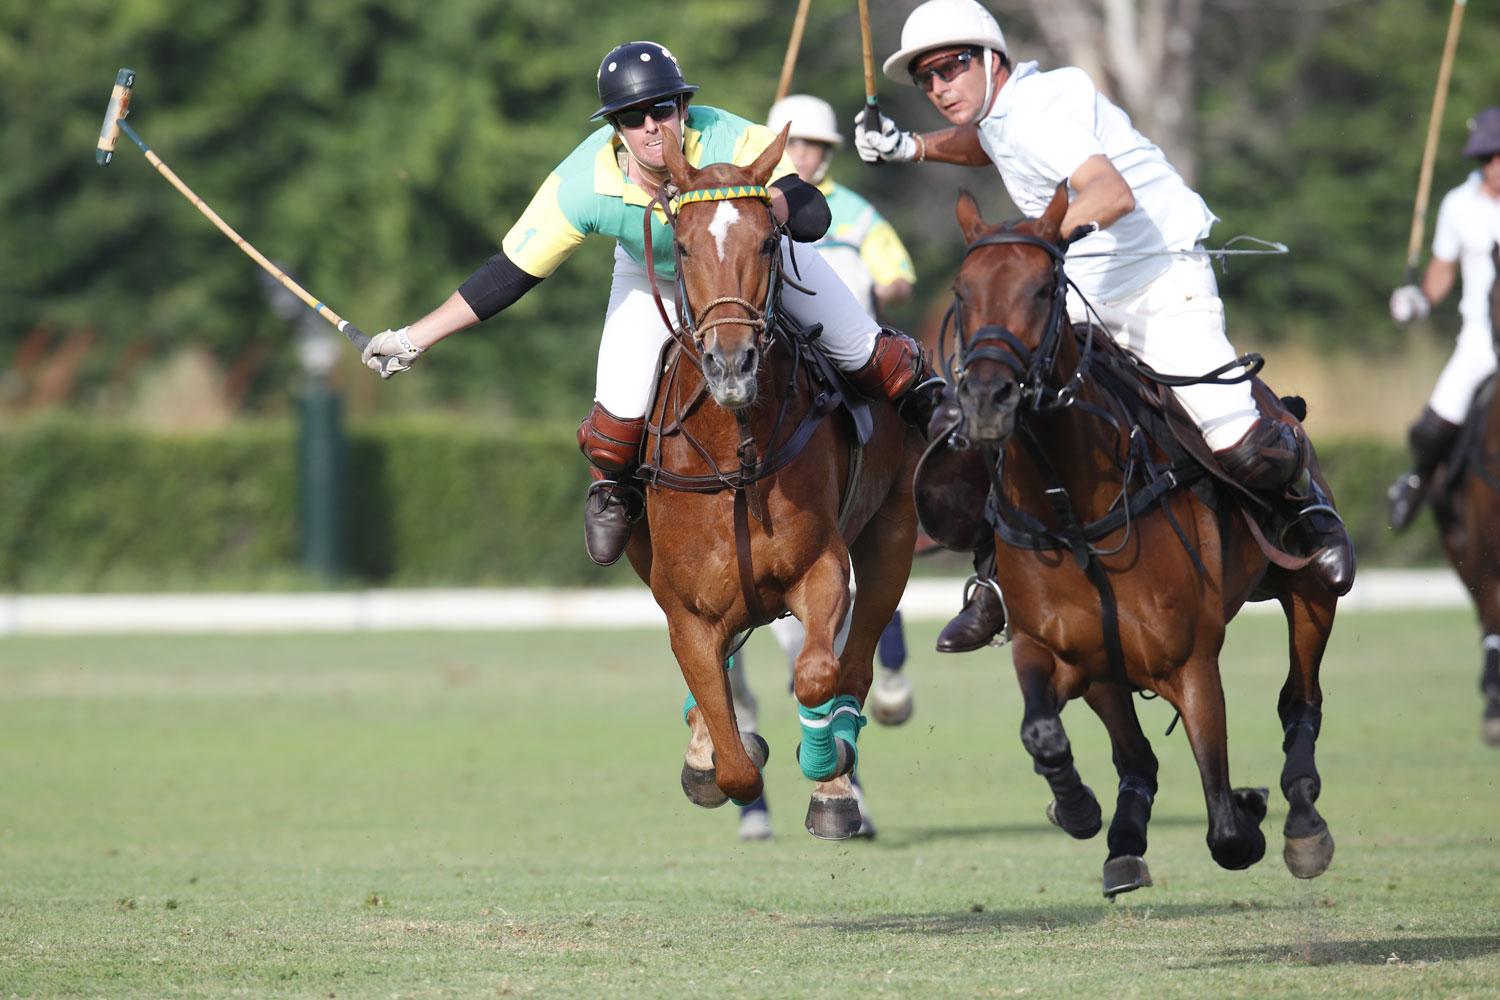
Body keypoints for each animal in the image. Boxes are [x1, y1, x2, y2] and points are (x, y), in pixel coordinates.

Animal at [621, 128, 924, 839]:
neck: (736, 458)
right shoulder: (686, 608)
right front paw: (709, 755)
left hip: (892, 535)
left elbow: (816, 675)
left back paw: (840, 773)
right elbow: (734, 763)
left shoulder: (820, 566)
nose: (731, 364)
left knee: (856, 661)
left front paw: (829, 773)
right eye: (681, 246)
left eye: (766, 241)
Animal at [930, 187, 1344, 899]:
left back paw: (1301, 820)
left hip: (1310, 592)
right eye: (962, 289)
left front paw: (1250, 811)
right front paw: (1082, 812)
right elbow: (1048, 733)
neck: (1074, 510)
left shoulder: (1192, 661)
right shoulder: (1065, 651)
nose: (985, 399)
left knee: (1301, 698)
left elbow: (1226, 828)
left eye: (1045, 289)